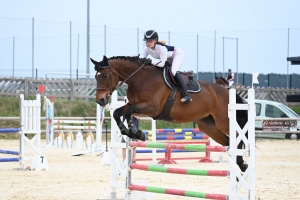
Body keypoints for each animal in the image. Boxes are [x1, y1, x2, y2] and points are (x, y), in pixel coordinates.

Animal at [91, 55, 248, 172]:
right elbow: (118, 112)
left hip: (224, 122)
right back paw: (241, 164)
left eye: (104, 76)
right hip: (209, 126)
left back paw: (242, 163)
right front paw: (128, 131)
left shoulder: (152, 108)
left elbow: (128, 112)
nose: (100, 100)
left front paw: (136, 133)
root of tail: (227, 91)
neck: (141, 78)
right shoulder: (133, 104)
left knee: (238, 137)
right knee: (228, 142)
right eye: (96, 77)